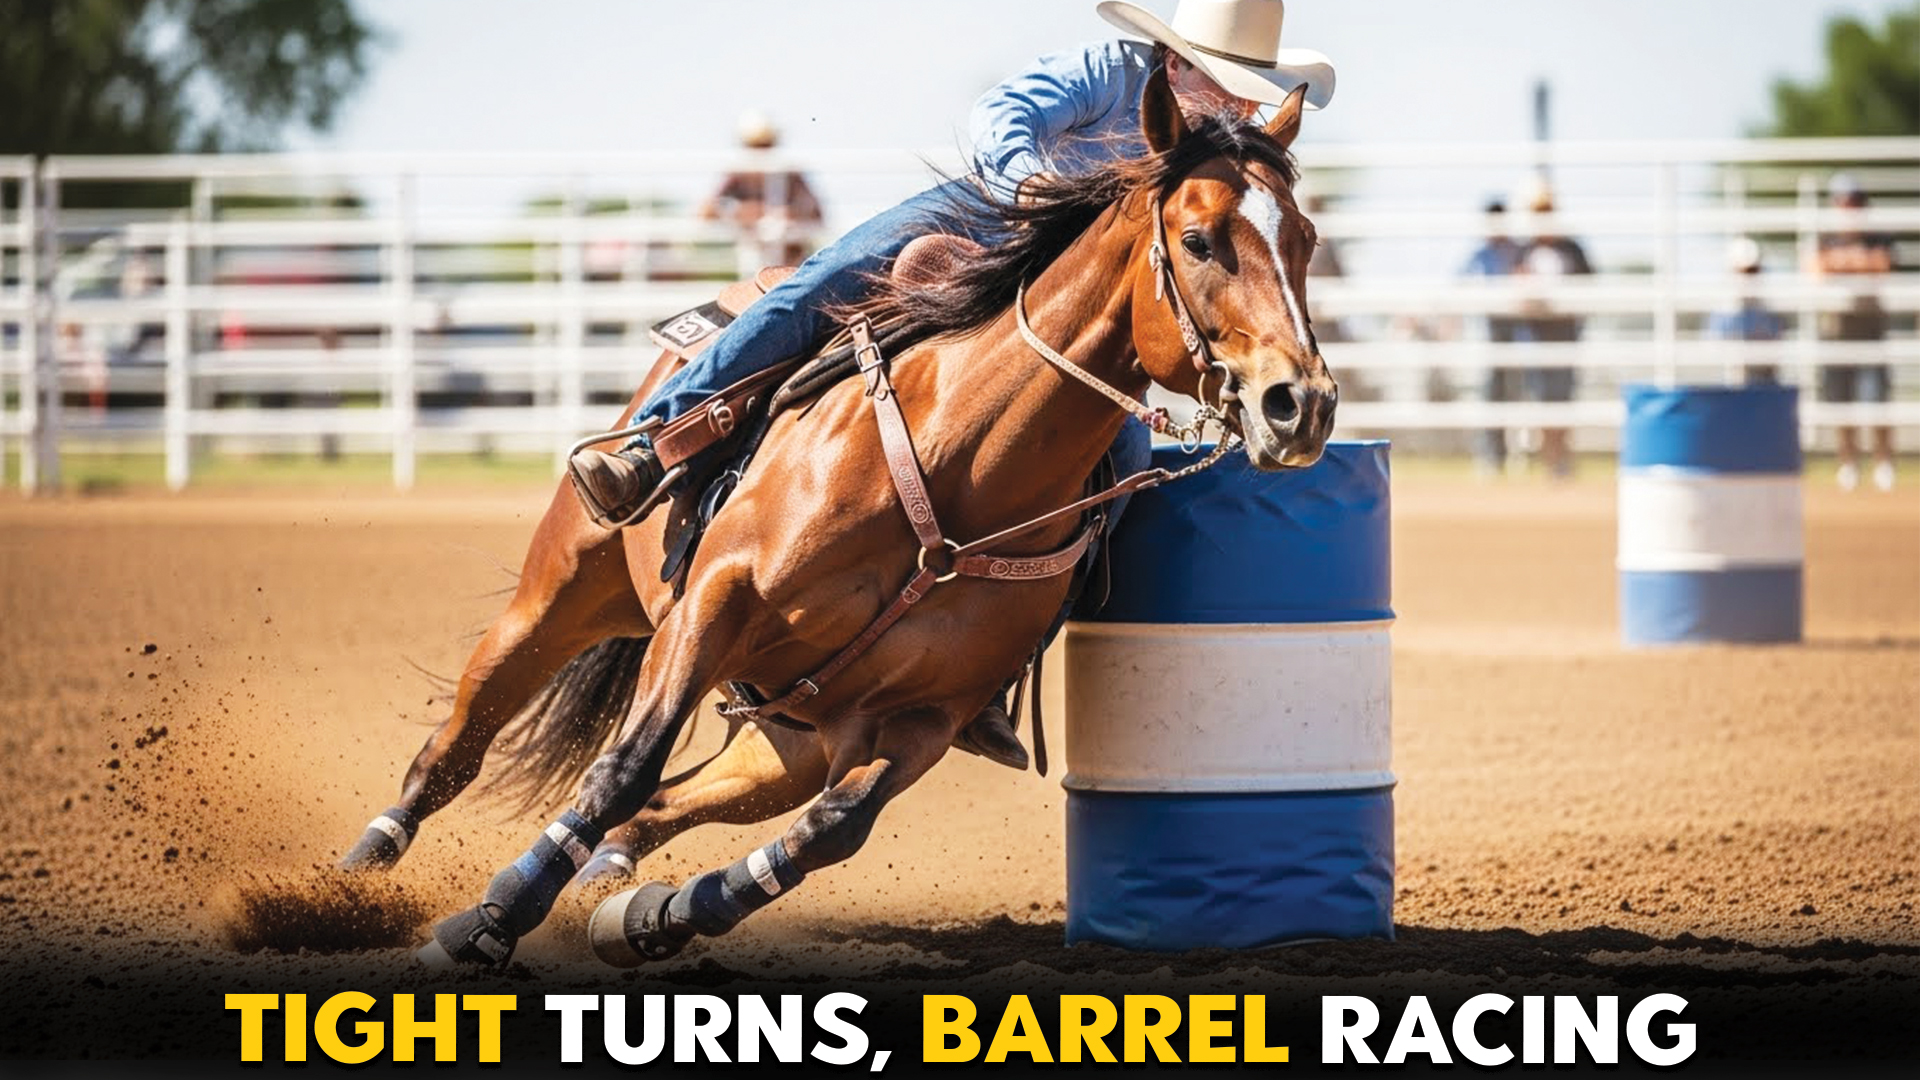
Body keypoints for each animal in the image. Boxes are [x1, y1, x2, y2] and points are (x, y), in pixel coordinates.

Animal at [337, 69, 1337, 968]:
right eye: (1200, 239)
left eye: (1307, 239)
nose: (1301, 405)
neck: (961, 471)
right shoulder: (716, 602)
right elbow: (626, 764)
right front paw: (484, 925)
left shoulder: (926, 714)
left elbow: (834, 829)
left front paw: (657, 917)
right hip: (565, 590)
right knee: (460, 741)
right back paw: (358, 873)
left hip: (789, 732)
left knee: (673, 805)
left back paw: (616, 895)